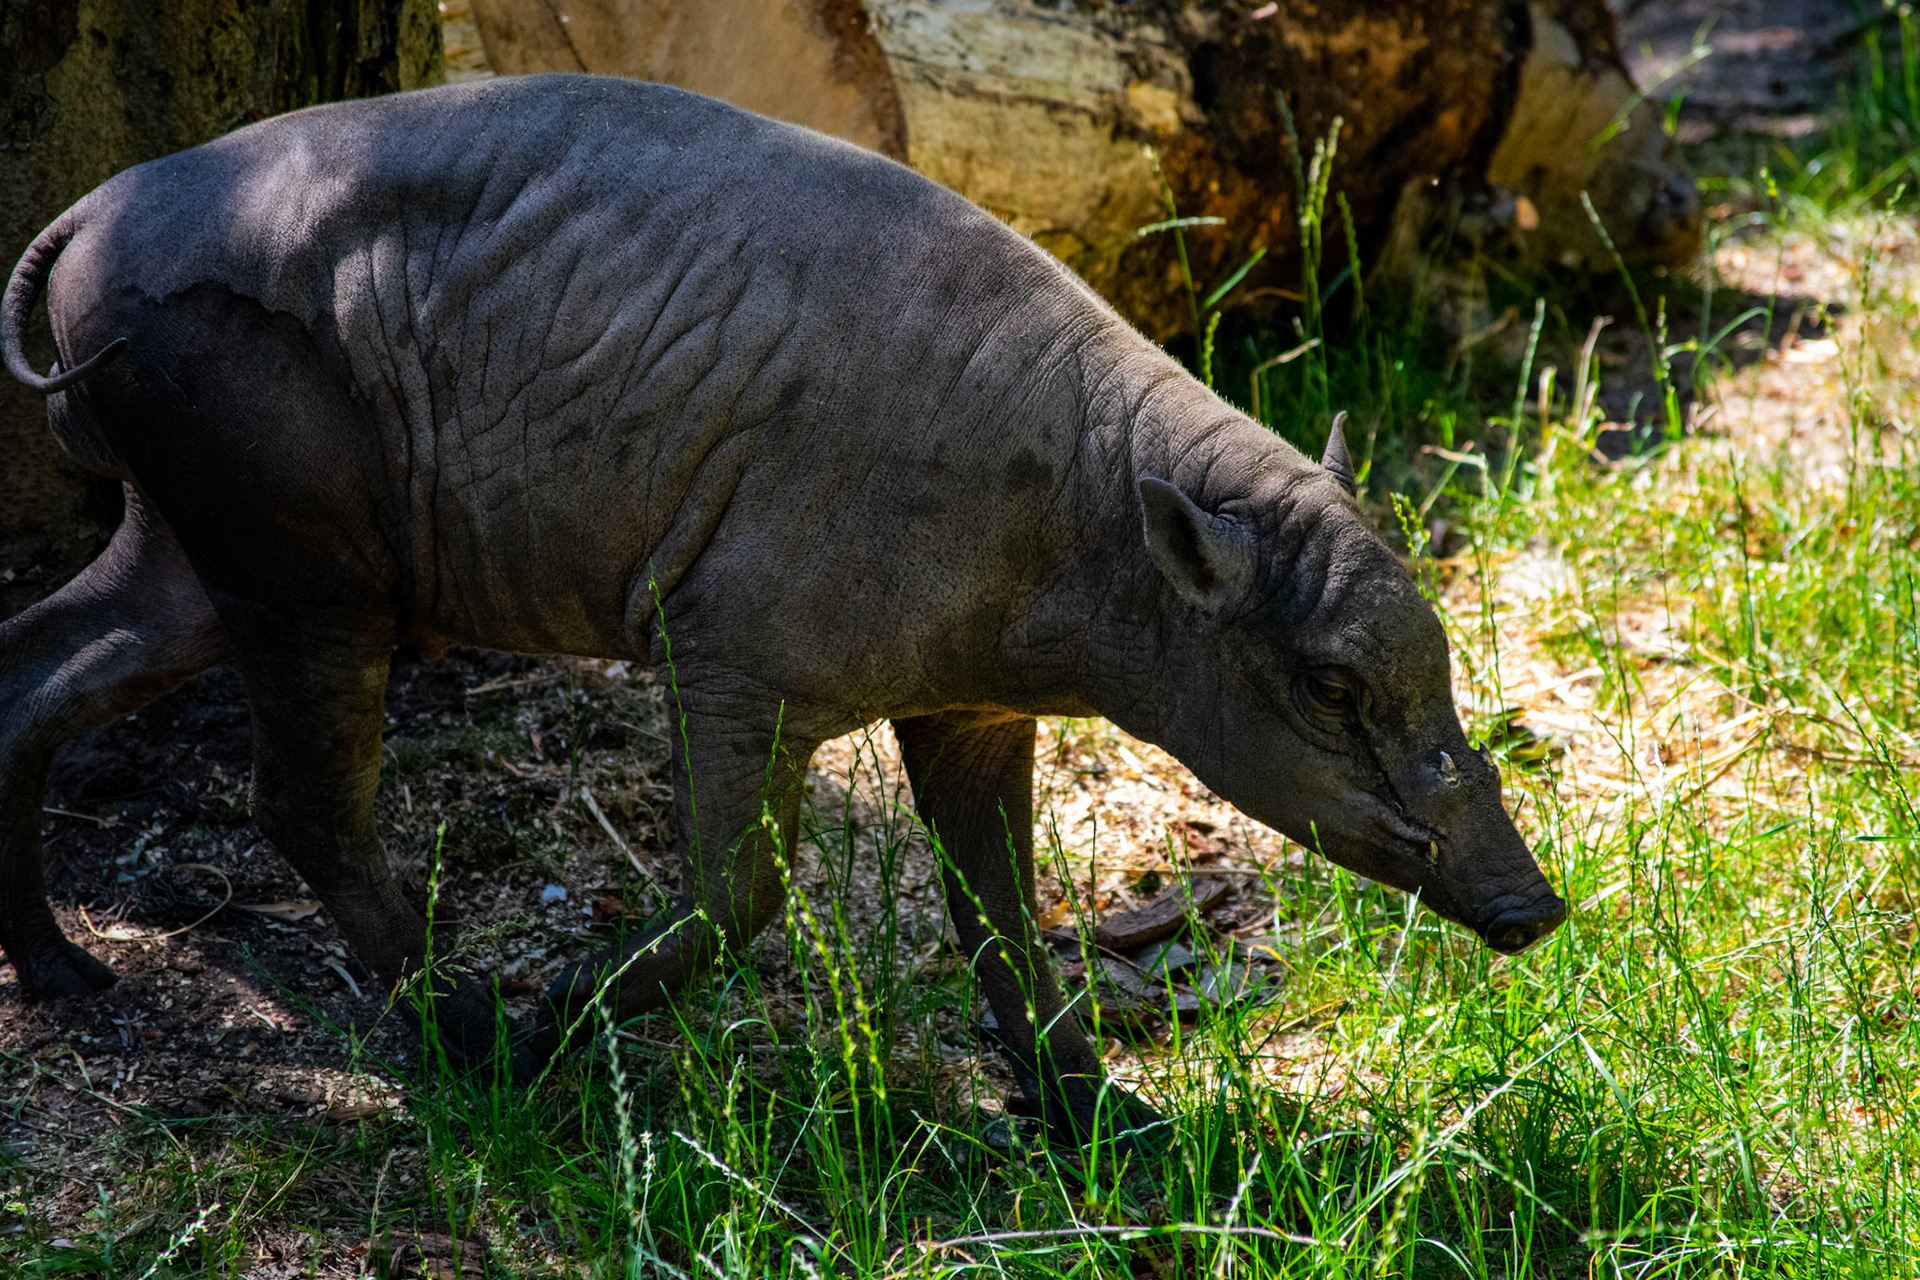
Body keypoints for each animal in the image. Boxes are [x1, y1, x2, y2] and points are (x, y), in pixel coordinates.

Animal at [0, 74, 1565, 1141]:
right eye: (1328, 687)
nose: (1533, 907)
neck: (1082, 511)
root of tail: (81, 221)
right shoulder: (728, 658)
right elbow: (744, 893)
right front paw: (559, 1026)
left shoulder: (969, 710)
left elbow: (1002, 910)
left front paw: (1101, 1125)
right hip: (302, 561)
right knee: (305, 802)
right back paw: (467, 1037)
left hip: (199, 549)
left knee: (31, 673)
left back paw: (64, 975)